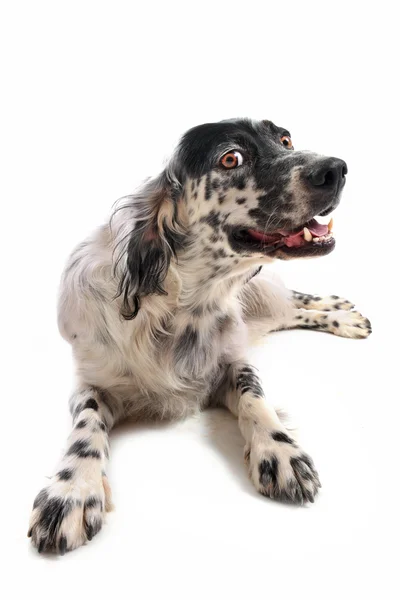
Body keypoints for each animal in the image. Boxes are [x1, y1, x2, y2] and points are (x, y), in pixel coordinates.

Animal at [28, 117, 372, 552]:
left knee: (294, 302)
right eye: (231, 158)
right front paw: (71, 491)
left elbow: (256, 398)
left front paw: (280, 451)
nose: (336, 169)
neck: (181, 310)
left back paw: (343, 313)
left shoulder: (233, 361)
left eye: (286, 140)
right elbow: (85, 430)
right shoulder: (92, 384)